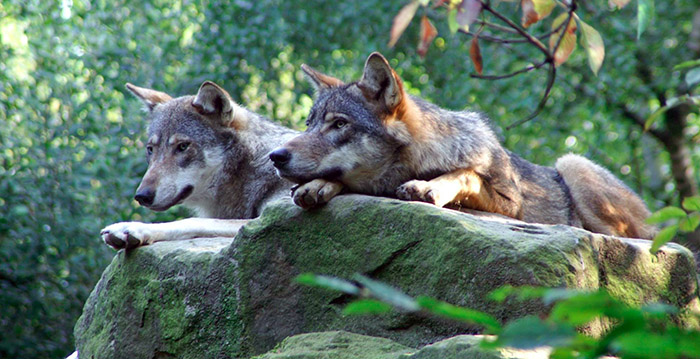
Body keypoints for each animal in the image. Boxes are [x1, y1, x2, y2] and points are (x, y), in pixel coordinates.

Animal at [100, 81, 296, 250]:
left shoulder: (274, 217)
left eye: (182, 146)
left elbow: (192, 221)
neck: (249, 167)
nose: (142, 196)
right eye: (150, 149)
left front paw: (132, 228)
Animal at [268, 52, 656, 240]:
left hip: (571, 163)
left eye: (339, 124)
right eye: (309, 124)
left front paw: (430, 187)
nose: (276, 156)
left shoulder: (510, 204)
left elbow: (466, 173)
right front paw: (317, 185)